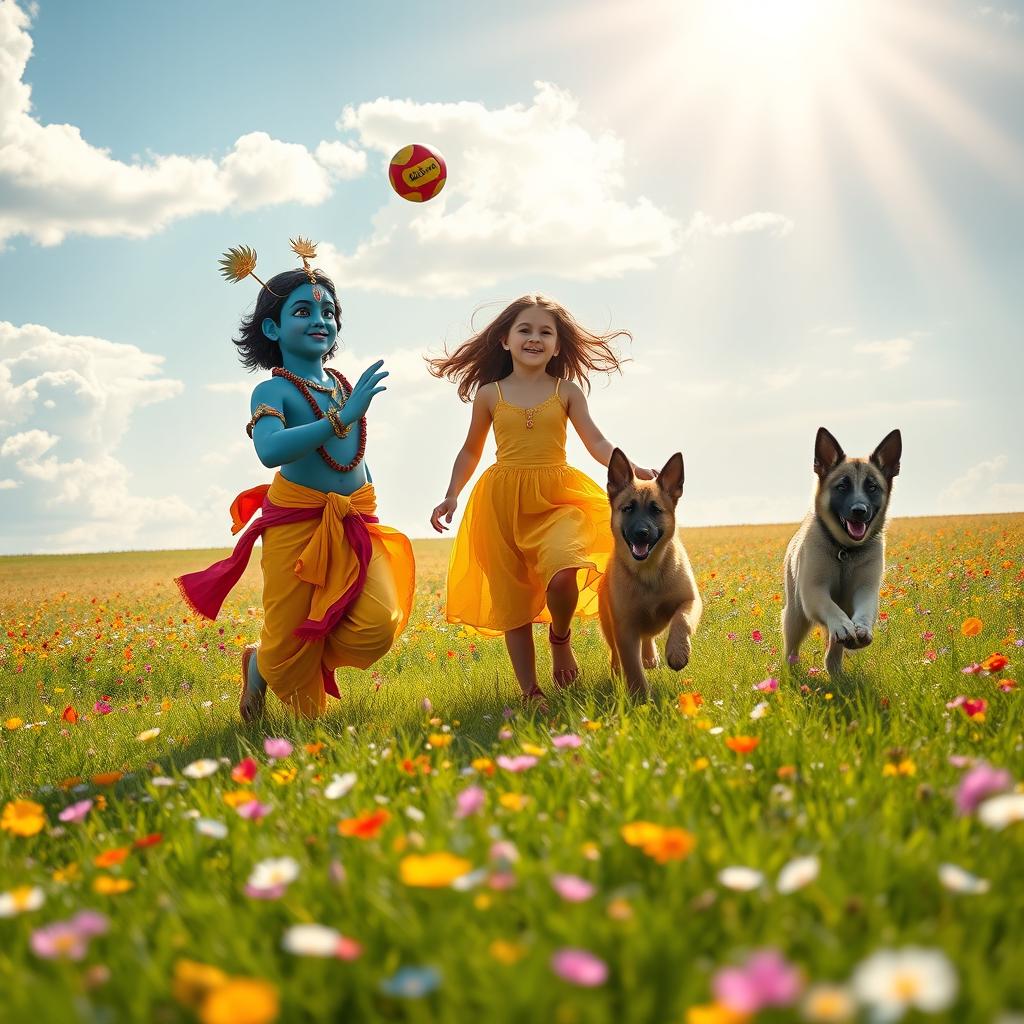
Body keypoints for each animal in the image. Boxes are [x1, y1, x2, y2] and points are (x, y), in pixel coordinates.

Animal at [598, 452, 704, 700]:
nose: (641, 534)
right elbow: (632, 667)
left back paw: (650, 656)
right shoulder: (624, 628)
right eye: (628, 508)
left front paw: (677, 652)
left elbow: (681, 620)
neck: (648, 572)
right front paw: (640, 698)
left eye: (656, 510)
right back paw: (618, 671)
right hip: (609, 626)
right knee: (615, 654)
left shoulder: (690, 600)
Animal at [782, 425, 905, 675]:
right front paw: (842, 625)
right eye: (842, 486)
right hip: (795, 616)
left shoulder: (866, 589)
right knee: (791, 649)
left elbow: (865, 610)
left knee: (832, 653)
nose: (859, 510)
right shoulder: (813, 590)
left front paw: (862, 629)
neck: (845, 551)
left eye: (872, 487)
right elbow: (831, 608)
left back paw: (836, 672)